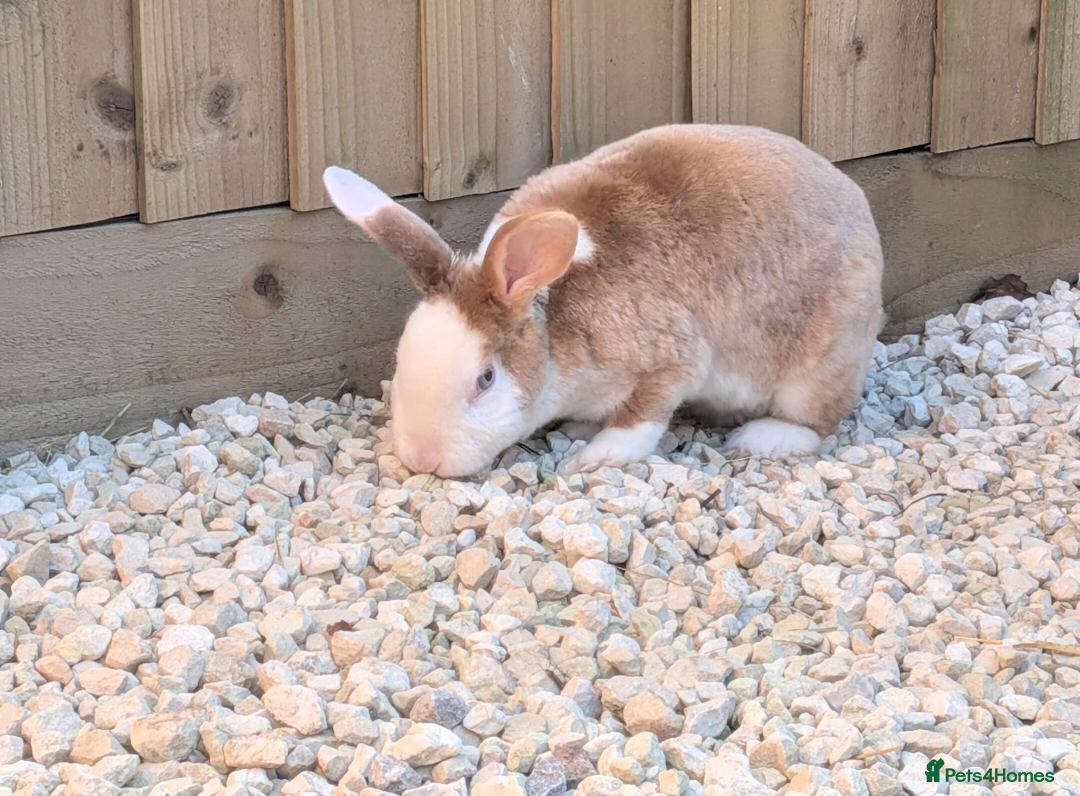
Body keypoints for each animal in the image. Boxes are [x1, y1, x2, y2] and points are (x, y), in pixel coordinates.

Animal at [322, 123, 884, 479]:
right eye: (401, 359)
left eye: (485, 379)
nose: (420, 458)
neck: (555, 323)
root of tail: (860, 208)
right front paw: (580, 427)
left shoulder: (675, 358)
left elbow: (643, 414)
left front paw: (597, 456)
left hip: (818, 368)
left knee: (816, 423)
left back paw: (761, 439)